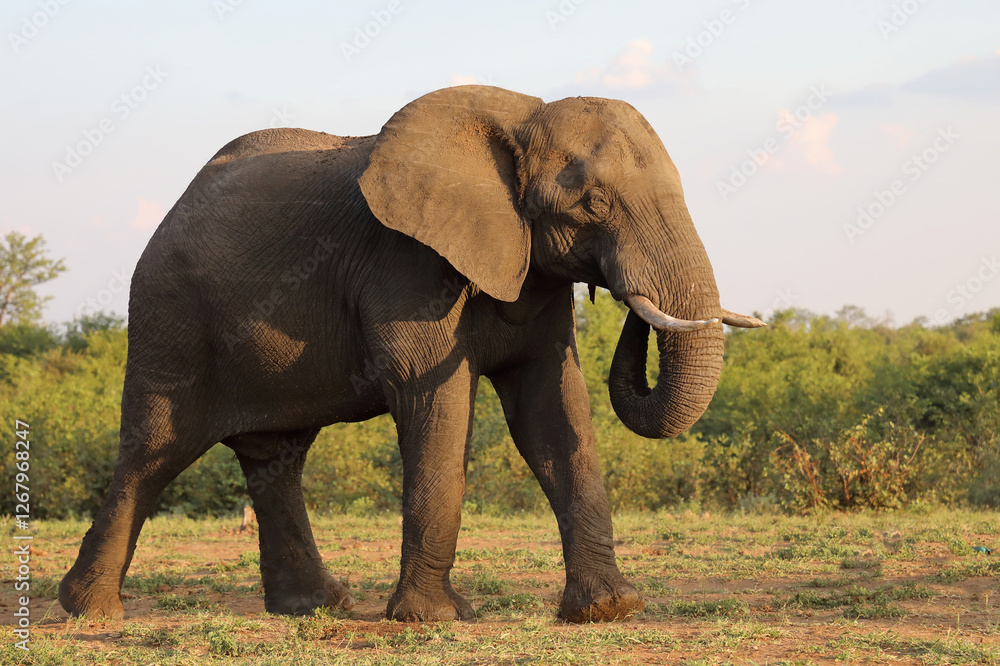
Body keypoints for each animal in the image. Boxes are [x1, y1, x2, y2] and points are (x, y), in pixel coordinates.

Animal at [59, 85, 763, 624]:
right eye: (592, 202)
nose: (623, 295)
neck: (520, 118)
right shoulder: (407, 267)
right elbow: (437, 407)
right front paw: (434, 619)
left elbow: (554, 413)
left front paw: (609, 611)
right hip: (169, 315)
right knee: (154, 452)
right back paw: (89, 611)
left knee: (275, 458)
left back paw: (317, 607)